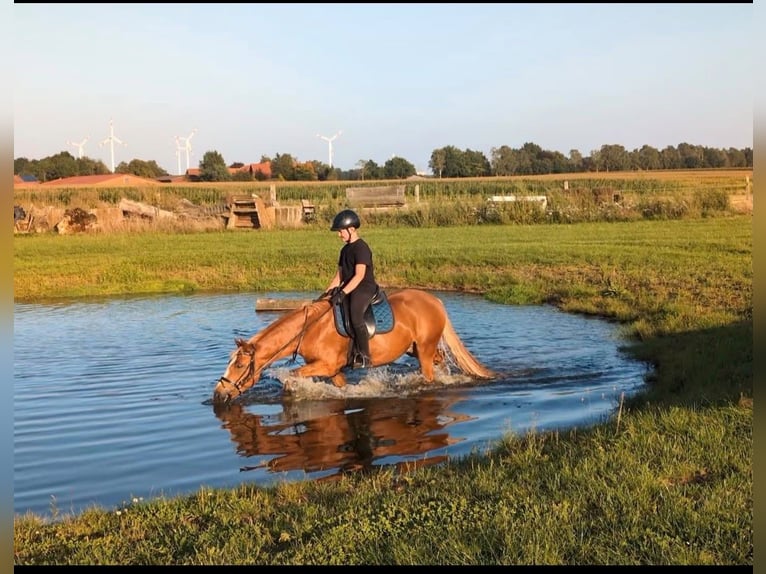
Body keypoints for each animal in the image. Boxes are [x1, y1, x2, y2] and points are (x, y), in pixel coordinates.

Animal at [212, 288, 496, 403]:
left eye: (239, 365)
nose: (218, 394)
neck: (310, 330)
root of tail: (435, 301)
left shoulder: (326, 366)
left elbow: (291, 378)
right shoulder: (334, 371)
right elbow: (341, 388)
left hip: (423, 351)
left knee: (428, 375)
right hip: (415, 348)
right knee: (439, 359)